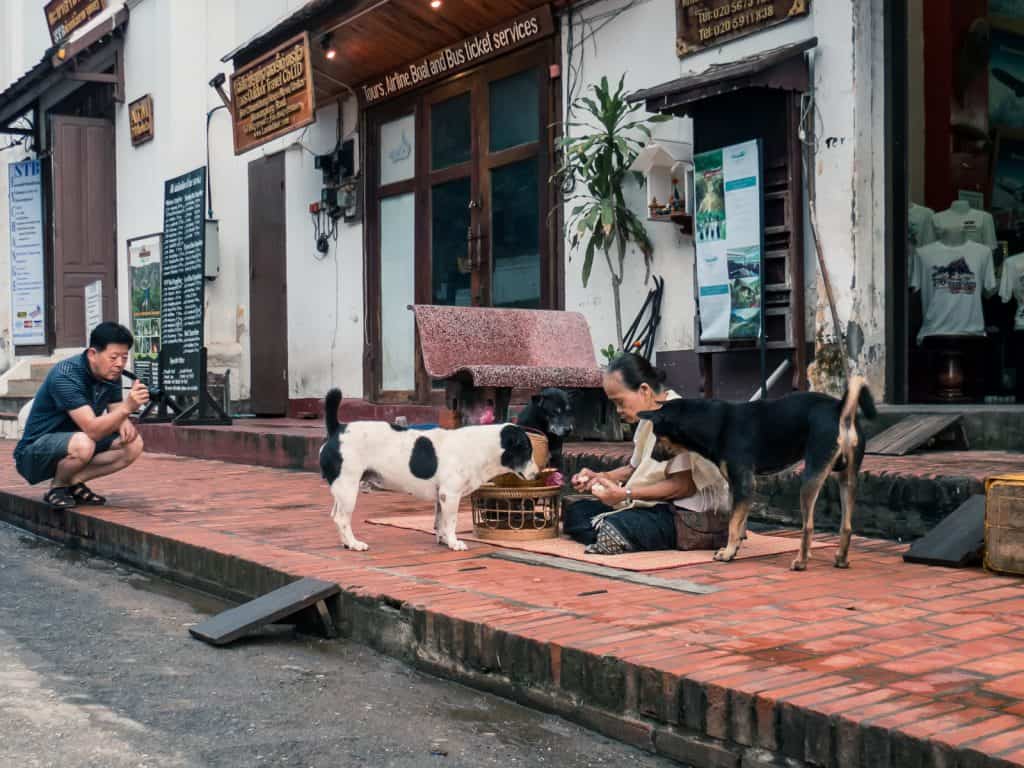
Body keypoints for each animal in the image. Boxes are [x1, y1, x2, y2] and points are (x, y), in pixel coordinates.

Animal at [638, 376, 872, 573]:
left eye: (657, 434)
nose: (652, 456)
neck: (712, 423)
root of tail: (839, 409)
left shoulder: (743, 483)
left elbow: (733, 522)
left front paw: (728, 552)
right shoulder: (737, 485)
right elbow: (737, 520)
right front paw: (736, 546)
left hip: (811, 476)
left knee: (808, 526)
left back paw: (801, 562)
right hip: (848, 478)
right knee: (847, 526)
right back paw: (841, 559)